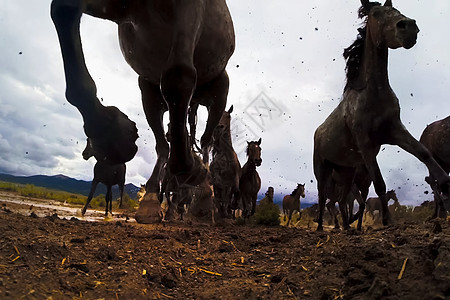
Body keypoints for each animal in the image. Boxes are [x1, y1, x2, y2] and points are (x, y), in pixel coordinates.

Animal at [51, 0, 236, 223]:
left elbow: (178, 75)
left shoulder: (189, 9)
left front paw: (194, 170)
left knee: (205, 140)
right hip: (149, 92)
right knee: (164, 145)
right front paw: (113, 136)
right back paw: (151, 200)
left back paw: (202, 188)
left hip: (219, 91)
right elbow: (64, 10)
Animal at [312, 0, 450, 231]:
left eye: (396, 10)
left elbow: (424, 154)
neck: (373, 94)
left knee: (341, 199)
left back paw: (348, 228)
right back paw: (323, 227)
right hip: (322, 169)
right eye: (376, 13)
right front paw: (387, 220)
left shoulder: (395, 131)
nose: (408, 27)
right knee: (323, 198)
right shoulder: (366, 144)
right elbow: (379, 183)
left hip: (346, 171)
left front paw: (446, 185)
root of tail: (318, 132)